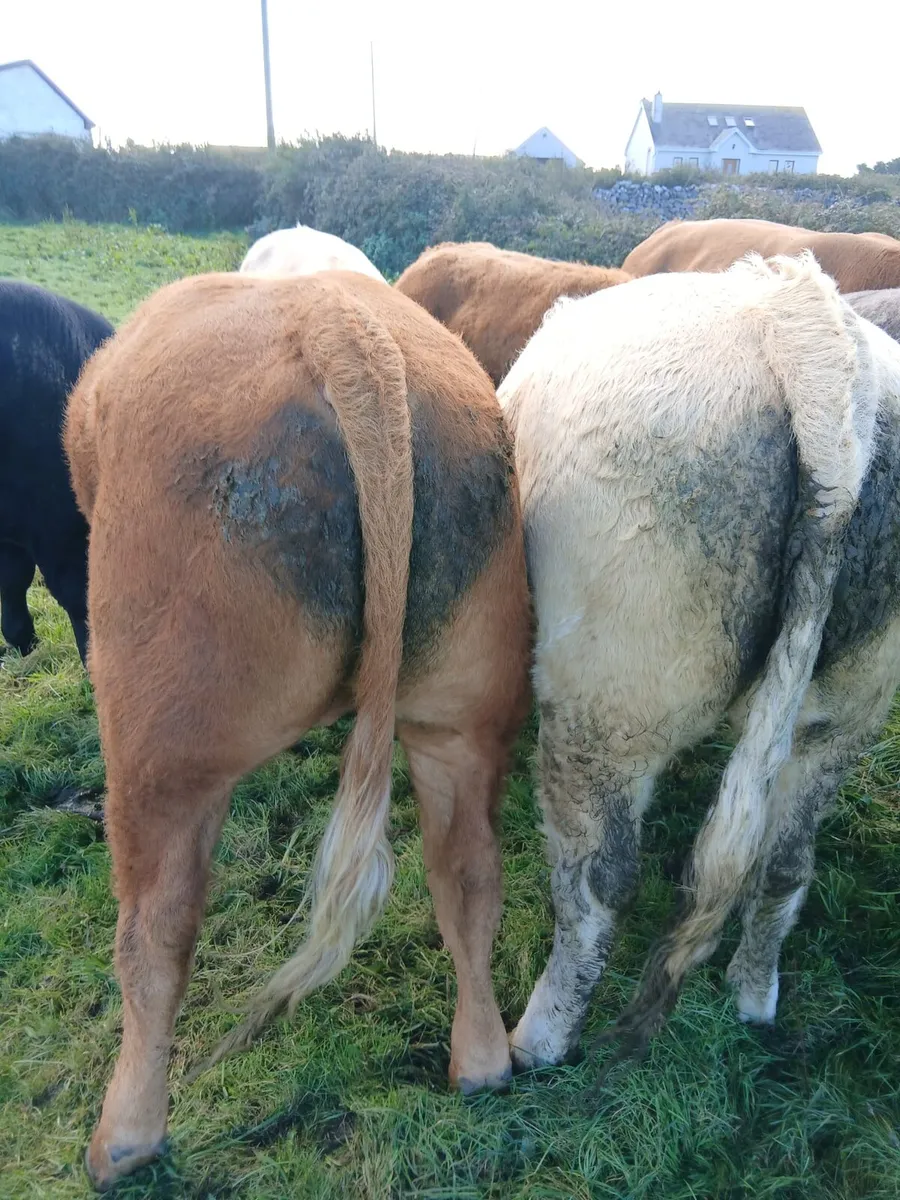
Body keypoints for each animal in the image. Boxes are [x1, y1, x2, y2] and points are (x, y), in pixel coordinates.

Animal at [64, 269, 531, 1189]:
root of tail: (339, 325)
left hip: (160, 734)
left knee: (157, 928)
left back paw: (125, 1139)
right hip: (464, 703)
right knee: (469, 875)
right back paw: (483, 1062)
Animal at [498, 254, 900, 1071]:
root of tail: (805, 328)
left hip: (607, 703)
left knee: (599, 883)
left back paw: (540, 1038)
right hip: (846, 710)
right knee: (785, 862)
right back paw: (753, 997)